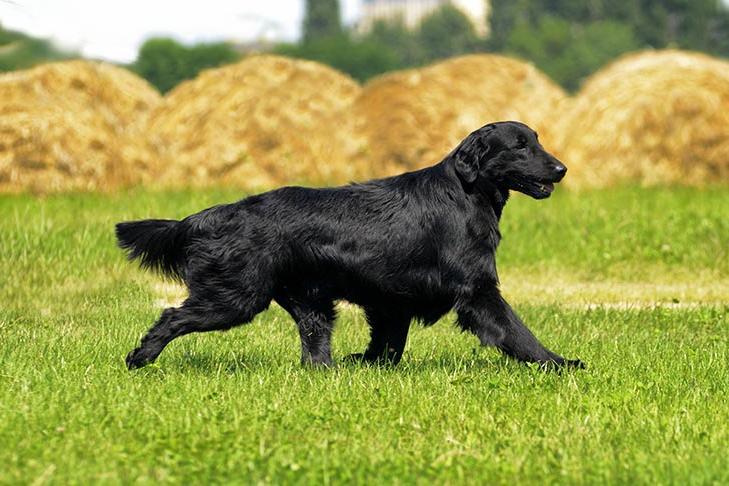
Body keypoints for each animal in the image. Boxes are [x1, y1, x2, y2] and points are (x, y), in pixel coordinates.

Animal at [119, 120, 584, 368]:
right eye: (519, 146)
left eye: (537, 140)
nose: (562, 169)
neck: (465, 193)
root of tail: (221, 212)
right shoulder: (477, 290)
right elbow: (516, 331)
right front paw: (560, 363)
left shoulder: (393, 300)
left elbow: (389, 345)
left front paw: (365, 364)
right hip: (236, 297)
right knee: (171, 316)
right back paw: (140, 358)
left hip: (312, 304)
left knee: (314, 348)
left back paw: (327, 371)